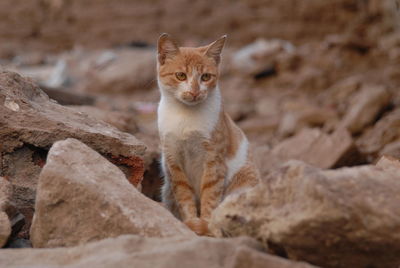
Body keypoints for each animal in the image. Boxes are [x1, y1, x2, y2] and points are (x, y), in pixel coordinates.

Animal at [156, 34, 260, 237]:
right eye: (181, 75)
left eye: (205, 77)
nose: (195, 91)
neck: (186, 116)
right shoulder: (173, 161)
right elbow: (184, 196)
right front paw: (190, 223)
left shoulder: (214, 160)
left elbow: (210, 196)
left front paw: (205, 224)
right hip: (166, 190)